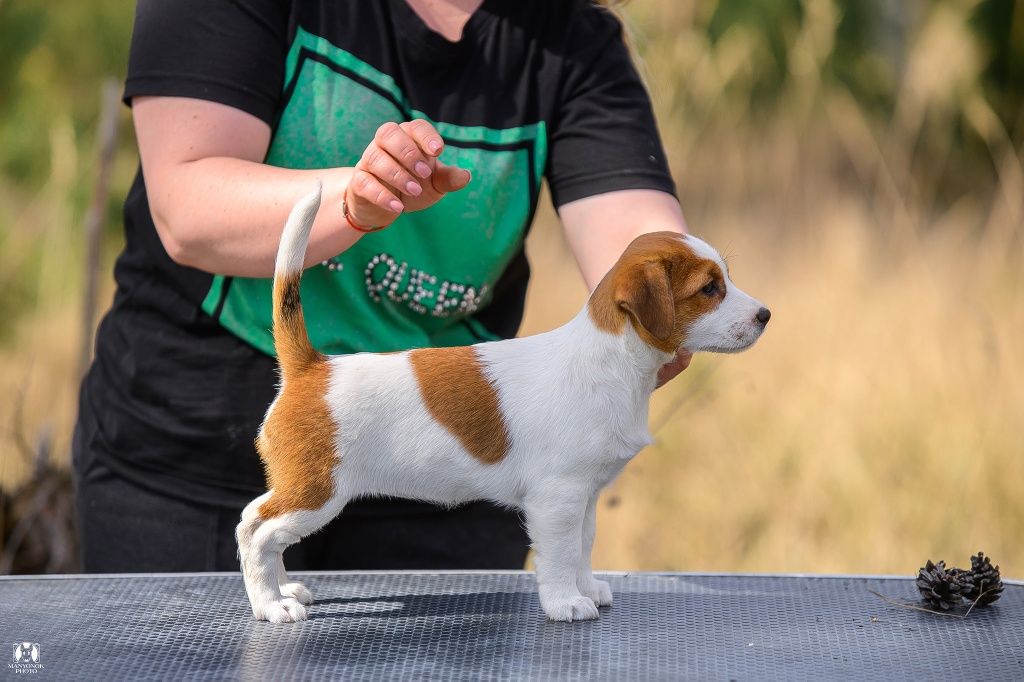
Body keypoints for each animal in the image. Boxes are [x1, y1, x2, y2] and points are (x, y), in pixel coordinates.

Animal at [237, 183, 770, 618]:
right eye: (709, 289)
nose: (765, 315)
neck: (610, 360)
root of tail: (312, 367)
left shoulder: (585, 496)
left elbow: (583, 546)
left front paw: (587, 588)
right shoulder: (557, 498)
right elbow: (559, 555)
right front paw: (565, 603)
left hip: (298, 486)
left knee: (252, 520)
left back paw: (285, 590)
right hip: (318, 491)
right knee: (258, 533)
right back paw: (270, 605)